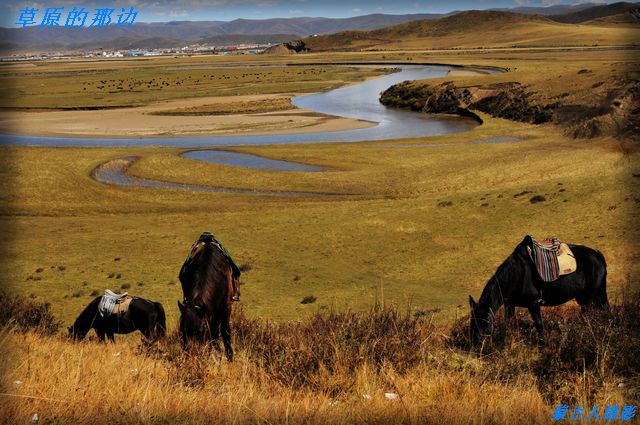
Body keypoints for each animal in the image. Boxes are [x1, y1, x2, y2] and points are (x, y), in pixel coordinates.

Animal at [468, 235, 608, 344]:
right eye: (472, 321)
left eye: (484, 321)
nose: (476, 343)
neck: (517, 274)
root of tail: (598, 254)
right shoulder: (510, 304)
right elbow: (508, 323)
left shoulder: (533, 303)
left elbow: (539, 325)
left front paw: (543, 345)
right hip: (594, 295)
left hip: (588, 297)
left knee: (587, 315)